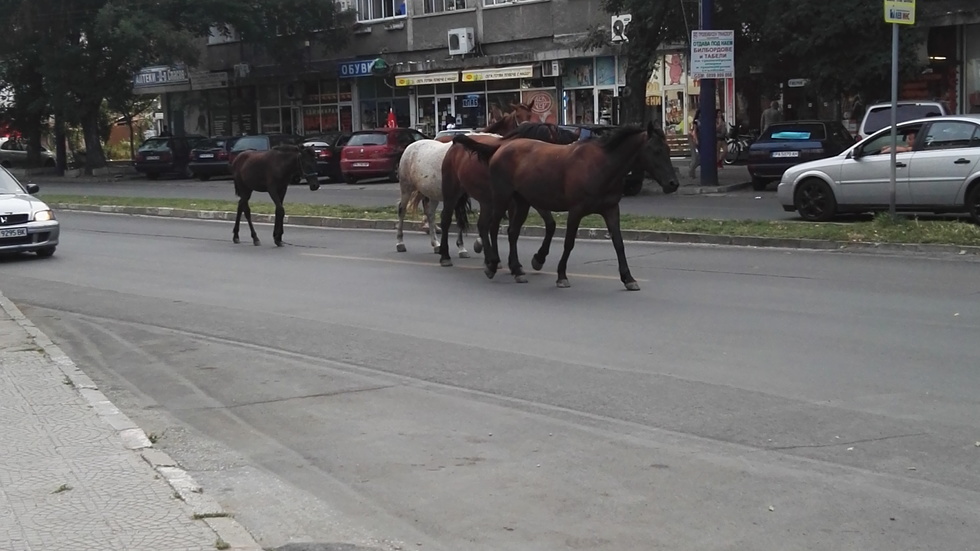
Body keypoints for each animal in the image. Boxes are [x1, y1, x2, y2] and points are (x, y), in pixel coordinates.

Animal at [454, 123, 676, 292]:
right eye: (655, 151)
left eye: (668, 150)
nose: (673, 184)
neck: (601, 165)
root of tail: (499, 148)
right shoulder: (576, 211)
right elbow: (569, 243)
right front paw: (561, 275)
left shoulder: (611, 209)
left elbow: (618, 244)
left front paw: (628, 278)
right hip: (502, 198)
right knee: (492, 228)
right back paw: (492, 264)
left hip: (522, 202)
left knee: (512, 232)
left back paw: (516, 270)